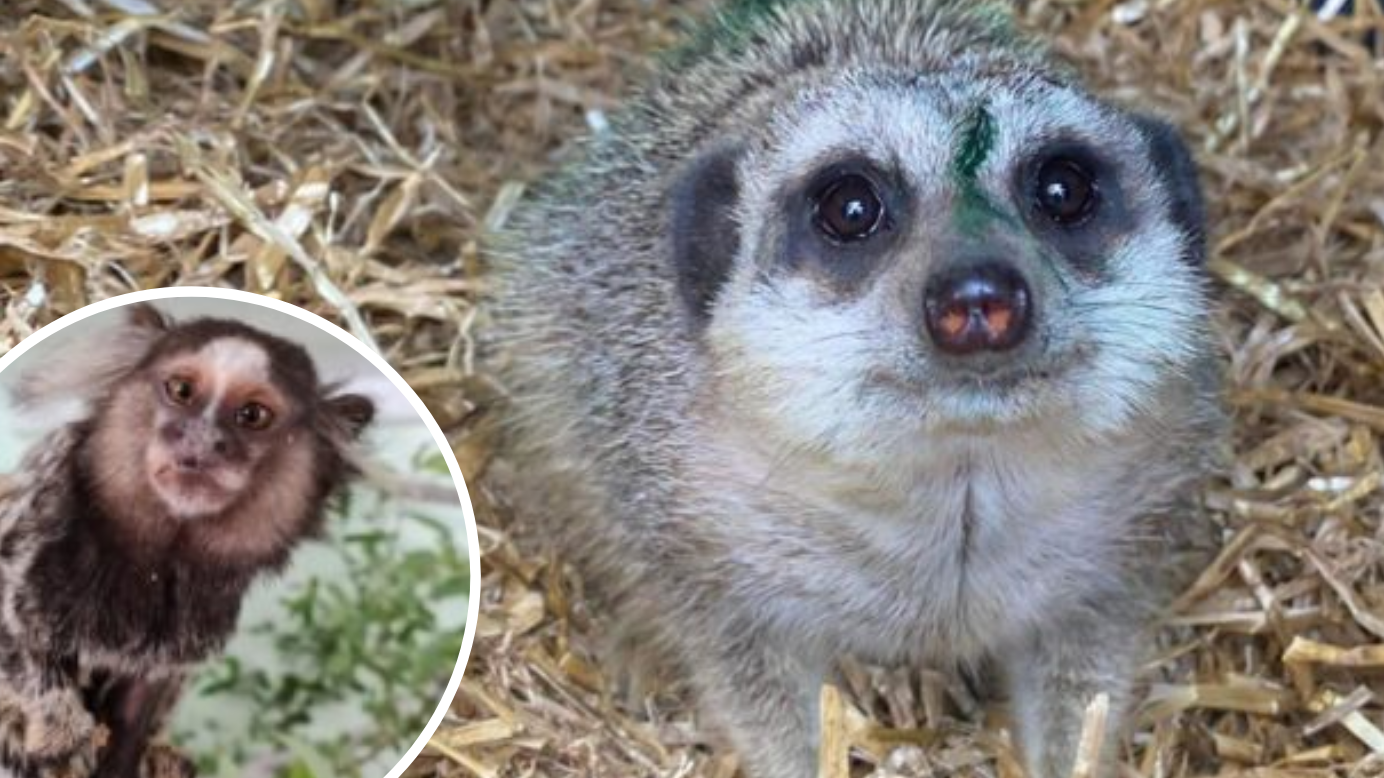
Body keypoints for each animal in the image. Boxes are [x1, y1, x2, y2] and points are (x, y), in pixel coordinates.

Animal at [0, 303, 375, 777]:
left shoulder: (183, 634)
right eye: (181, 391)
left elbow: (141, 701)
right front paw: (60, 737)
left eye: (252, 415)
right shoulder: (32, 555)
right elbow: (22, 648)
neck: (161, 558)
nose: (203, 441)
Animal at [482, 1, 1227, 777]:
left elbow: (1085, 685)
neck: (959, 487)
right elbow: (753, 687)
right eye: (850, 207)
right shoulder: (697, 535)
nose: (978, 296)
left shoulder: (1118, 547)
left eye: (1063, 189)